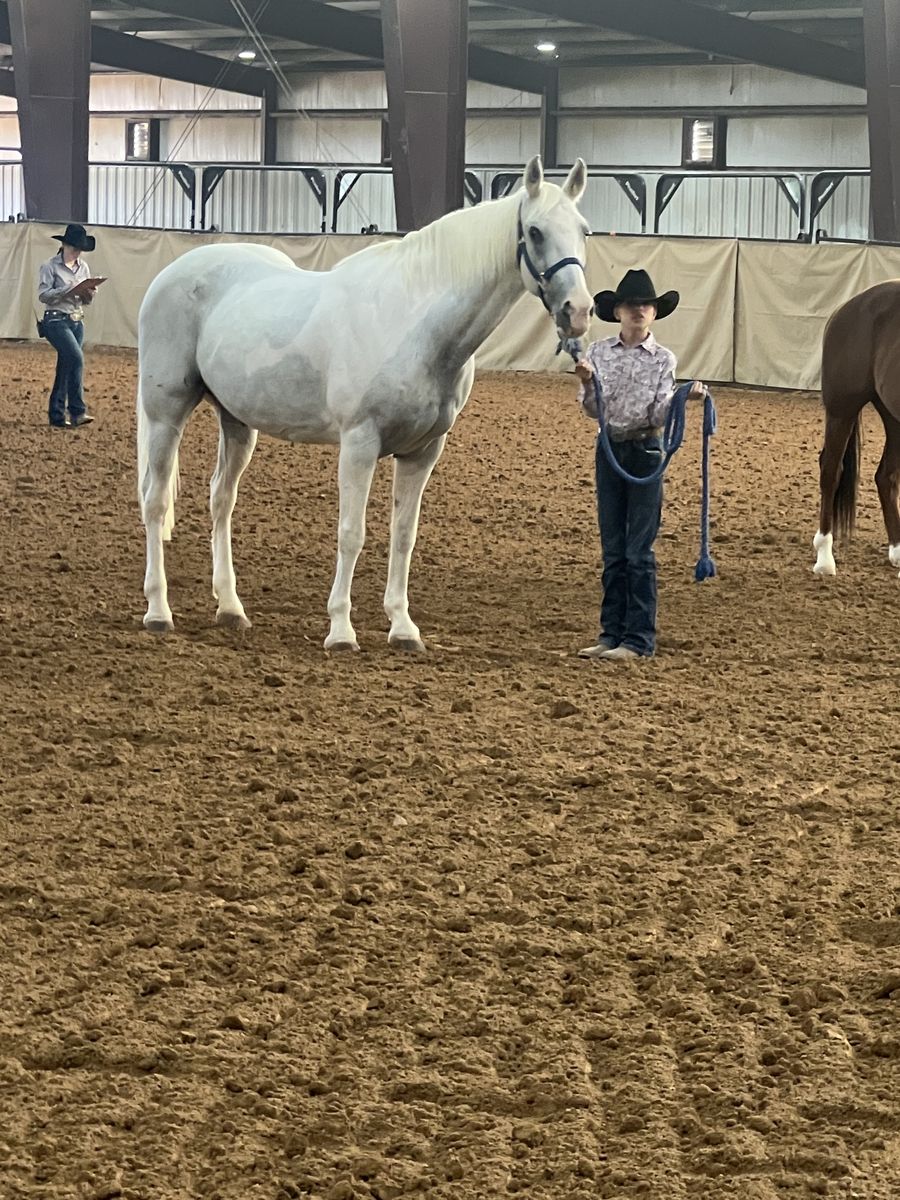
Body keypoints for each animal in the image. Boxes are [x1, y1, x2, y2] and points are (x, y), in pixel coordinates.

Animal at [137, 155, 593, 651]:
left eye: (584, 230)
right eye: (535, 231)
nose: (578, 311)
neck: (413, 322)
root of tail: (172, 273)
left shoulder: (423, 451)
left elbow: (404, 535)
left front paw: (403, 627)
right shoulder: (359, 443)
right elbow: (351, 533)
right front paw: (340, 630)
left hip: (237, 421)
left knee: (221, 500)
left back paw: (230, 608)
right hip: (166, 413)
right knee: (155, 502)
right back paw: (158, 610)